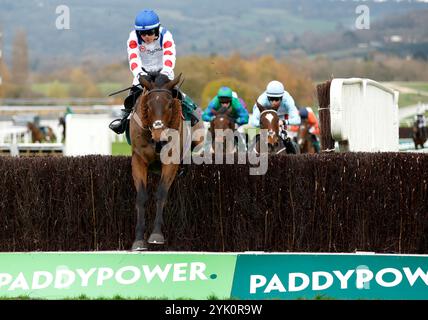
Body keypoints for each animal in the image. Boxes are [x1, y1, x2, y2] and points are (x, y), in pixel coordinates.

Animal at [130, 73, 205, 250]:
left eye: (170, 105)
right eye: (148, 105)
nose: (160, 137)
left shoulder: (170, 161)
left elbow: (161, 193)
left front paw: (156, 235)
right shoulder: (138, 160)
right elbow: (141, 196)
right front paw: (138, 240)